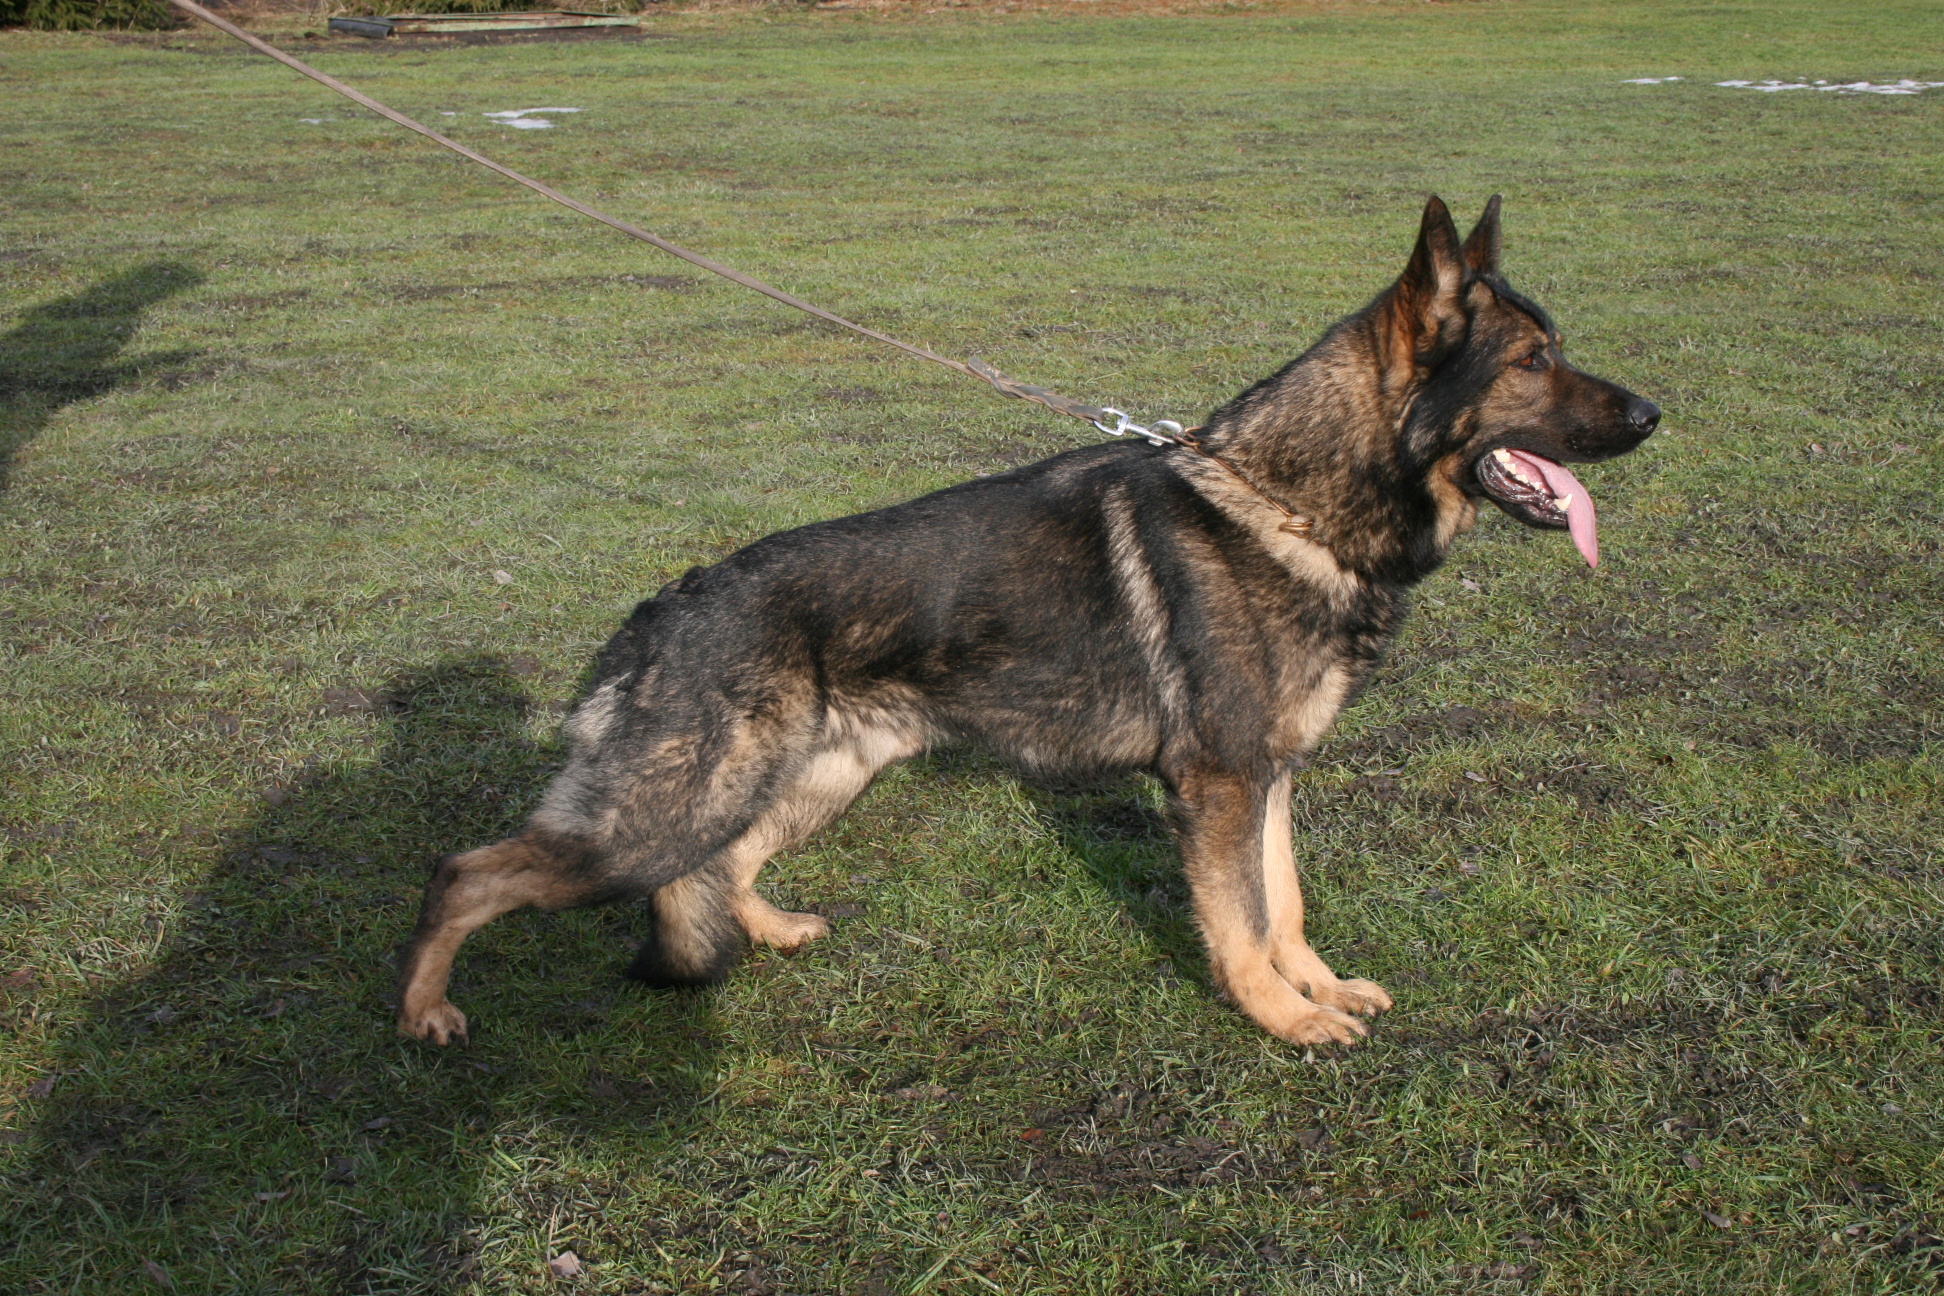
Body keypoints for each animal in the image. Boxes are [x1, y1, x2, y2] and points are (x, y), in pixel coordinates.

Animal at [396, 195, 1658, 1048]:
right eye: (1536, 360)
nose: (1655, 414)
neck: (1292, 499)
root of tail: (665, 604)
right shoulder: (1218, 786)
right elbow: (1241, 921)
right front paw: (1280, 1020)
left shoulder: (1271, 777)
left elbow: (1286, 902)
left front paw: (1316, 986)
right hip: (656, 817)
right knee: (467, 873)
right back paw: (425, 1009)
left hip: (810, 779)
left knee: (727, 862)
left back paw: (771, 931)